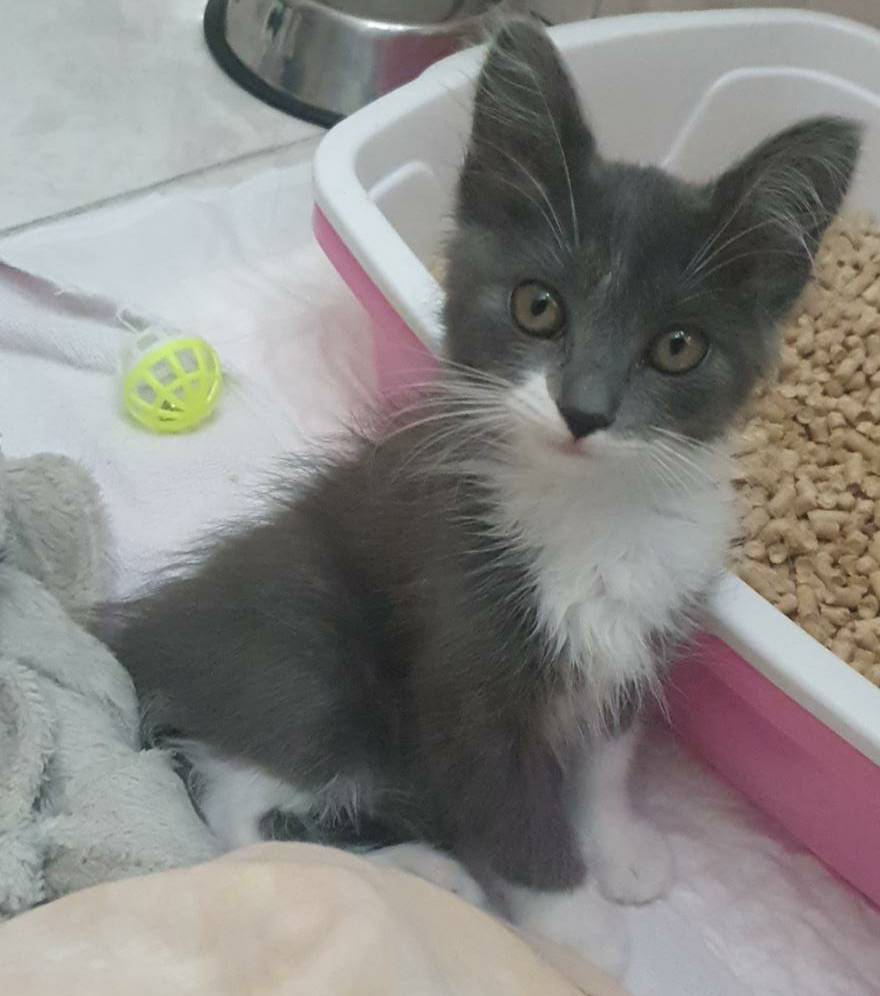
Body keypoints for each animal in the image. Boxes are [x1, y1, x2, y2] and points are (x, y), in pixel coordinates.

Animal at [100, 16, 860, 967]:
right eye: (538, 306)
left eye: (678, 347)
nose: (585, 410)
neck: (589, 509)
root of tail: (144, 635)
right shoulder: (462, 656)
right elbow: (513, 811)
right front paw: (577, 930)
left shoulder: (636, 633)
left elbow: (606, 758)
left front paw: (618, 848)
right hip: (309, 666)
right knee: (238, 808)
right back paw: (425, 870)